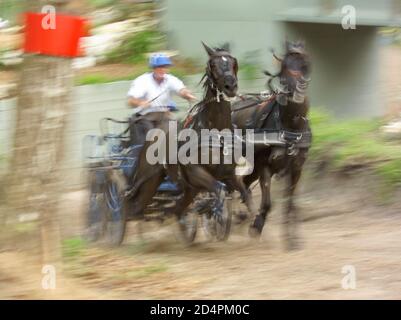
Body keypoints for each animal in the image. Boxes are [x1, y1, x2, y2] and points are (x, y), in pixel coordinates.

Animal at [123, 42, 258, 242]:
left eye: (233, 62)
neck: (215, 131)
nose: (230, 86)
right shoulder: (196, 172)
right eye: (213, 65)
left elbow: (247, 197)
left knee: (176, 208)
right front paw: (218, 215)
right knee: (132, 205)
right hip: (148, 180)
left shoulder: (229, 174)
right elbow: (219, 190)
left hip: (187, 188)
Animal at [231, 40, 312, 250]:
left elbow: (291, 203)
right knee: (235, 184)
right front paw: (256, 228)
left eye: (305, 65)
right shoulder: (265, 166)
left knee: (242, 184)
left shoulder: (296, 167)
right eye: (284, 67)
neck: (288, 126)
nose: (298, 89)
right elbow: (268, 203)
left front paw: (292, 240)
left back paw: (240, 217)